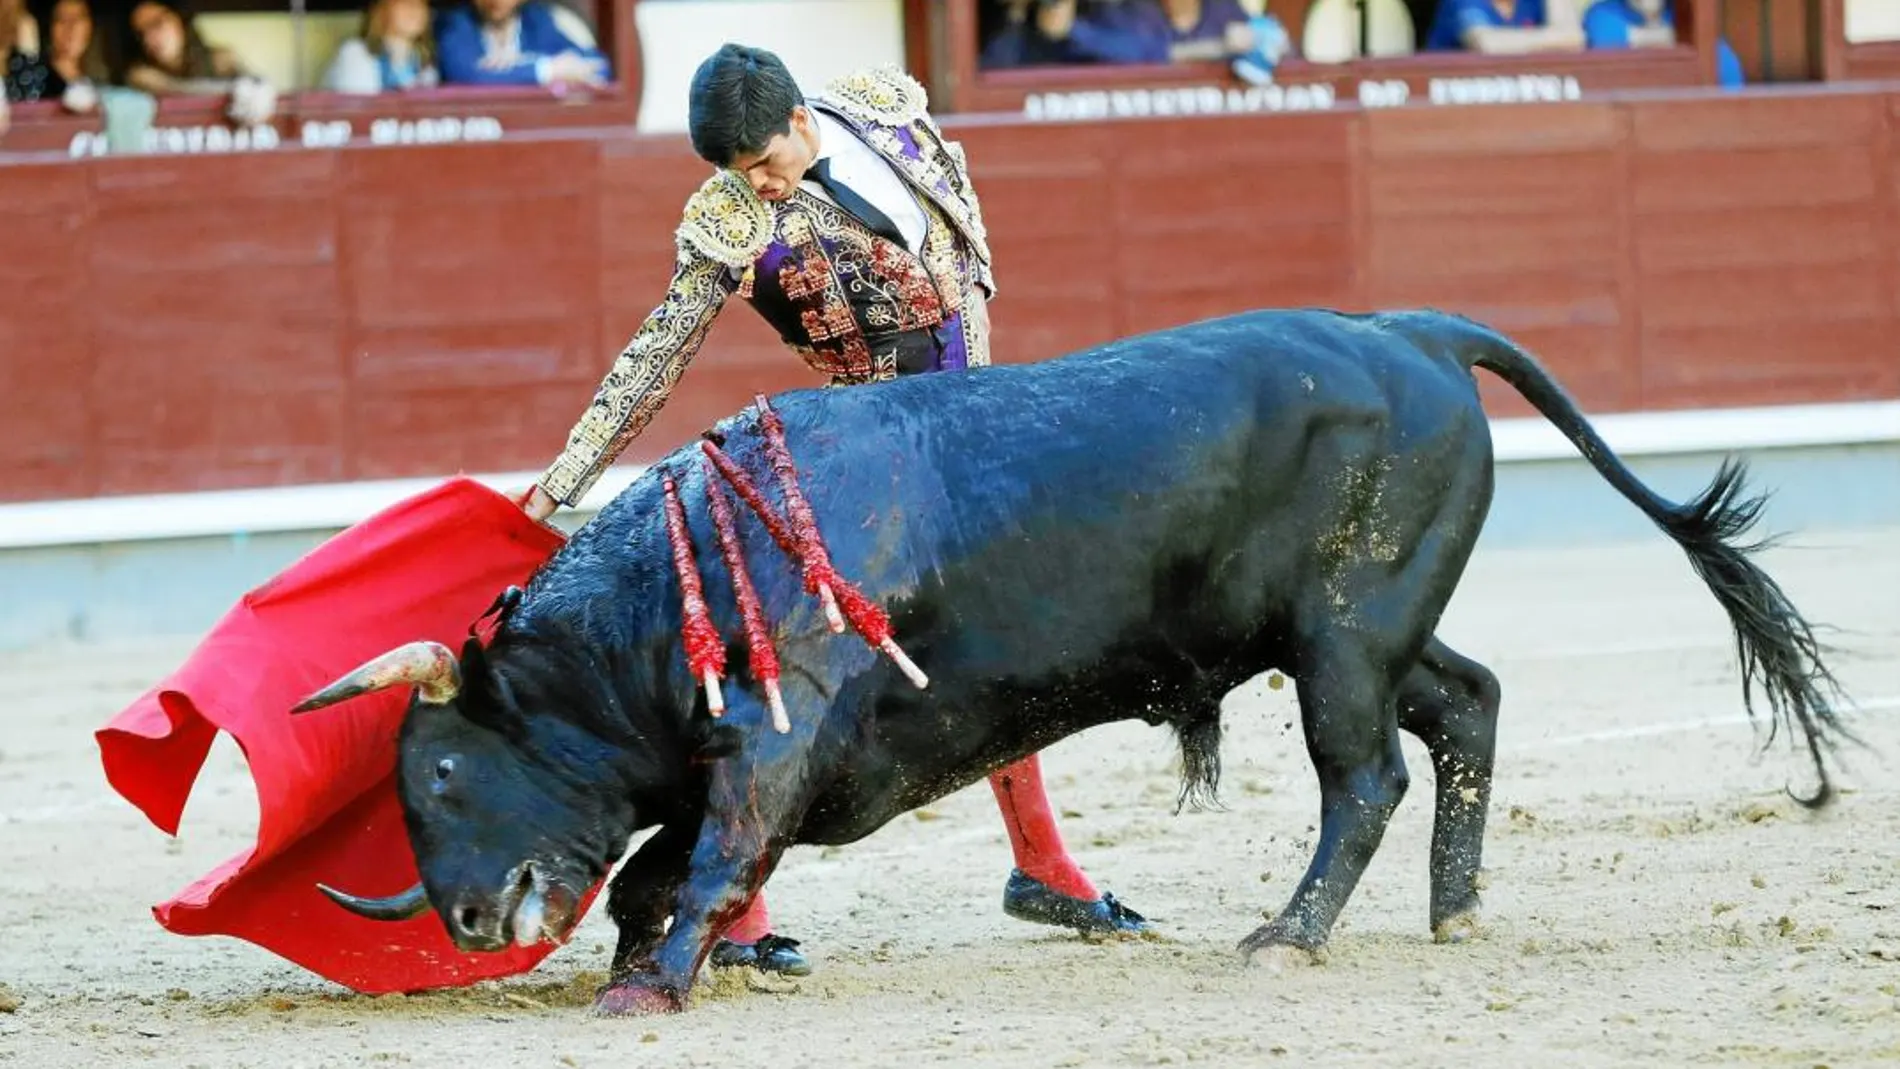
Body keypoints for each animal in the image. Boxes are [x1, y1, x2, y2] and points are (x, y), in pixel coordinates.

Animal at [288, 305, 1846, 1017]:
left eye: (439, 767)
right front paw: (661, 964)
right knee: (1466, 702)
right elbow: (662, 865)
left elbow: (711, 855)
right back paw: (1452, 910)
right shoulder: (750, 763)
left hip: (1340, 641)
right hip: (1349, 627)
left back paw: (1286, 934)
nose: (466, 920)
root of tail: (1407, 326)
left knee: (1365, 778)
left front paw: (651, 986)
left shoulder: (779, 742)